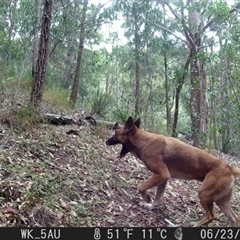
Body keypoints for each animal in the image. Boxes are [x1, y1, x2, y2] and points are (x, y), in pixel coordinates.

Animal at [106, 116, 240, 227]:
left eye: (115, 133)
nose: (106, 141)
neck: (145, 142)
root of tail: (229, 167)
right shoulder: (163, 178)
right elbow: (158, 197)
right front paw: (150, 206)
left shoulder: (161, 175)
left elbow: (141, 186)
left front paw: (146, 198)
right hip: (221, 201)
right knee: (235, 218)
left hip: (204, 194)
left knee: (212, 216)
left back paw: (195, 224)